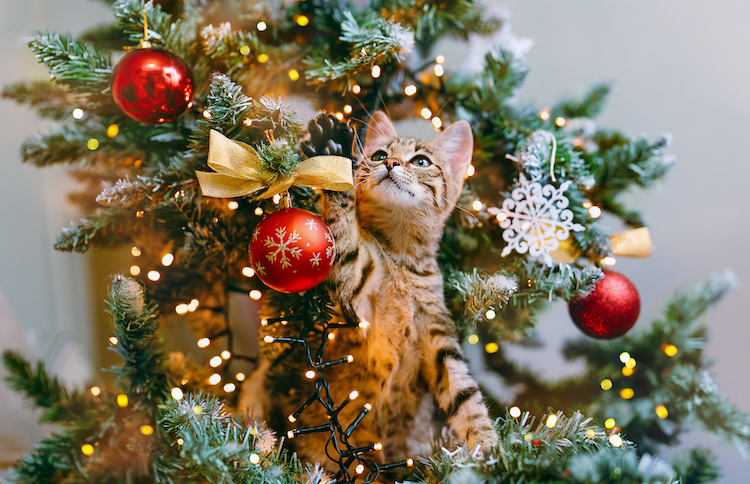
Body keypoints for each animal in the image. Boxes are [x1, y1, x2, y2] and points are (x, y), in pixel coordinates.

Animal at [241, 112, 500, 468]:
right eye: (379, 155)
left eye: (421, 161)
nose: (390, 163)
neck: (400, 259)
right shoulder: (356, 291)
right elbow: (344, 237)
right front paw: (332, 154)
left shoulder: (439, 336)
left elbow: (465, 394)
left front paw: (488, 447)